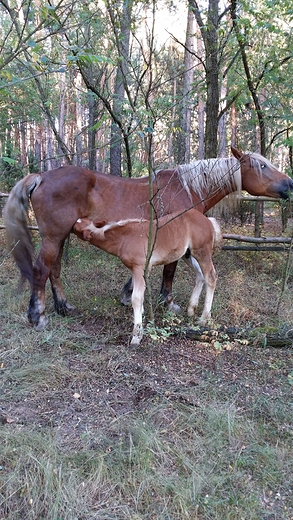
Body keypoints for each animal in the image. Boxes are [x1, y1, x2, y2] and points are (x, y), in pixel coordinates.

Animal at [2, 146, 292, 330]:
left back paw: (64, 307)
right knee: (41, 270)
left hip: (60, 236)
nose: (289, 184)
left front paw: (127, 294)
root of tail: (41, 176)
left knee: (55, 269)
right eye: (262, 165)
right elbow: (169, 272)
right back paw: (38, 317)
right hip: (53, 236)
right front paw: (169, 303)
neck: (186, 188)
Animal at [73, 207, 221, 346]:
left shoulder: (140, 268)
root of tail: (208, 220)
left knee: (211, 277)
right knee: (200, 275)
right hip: (187, 254)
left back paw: (203, 318)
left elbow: (136, 298)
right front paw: (142, 314)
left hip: (202, 252)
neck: (124, 238)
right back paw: (191, 309)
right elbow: (138, 293)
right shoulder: (136, 270)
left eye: (75, 227)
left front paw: (137, 336)